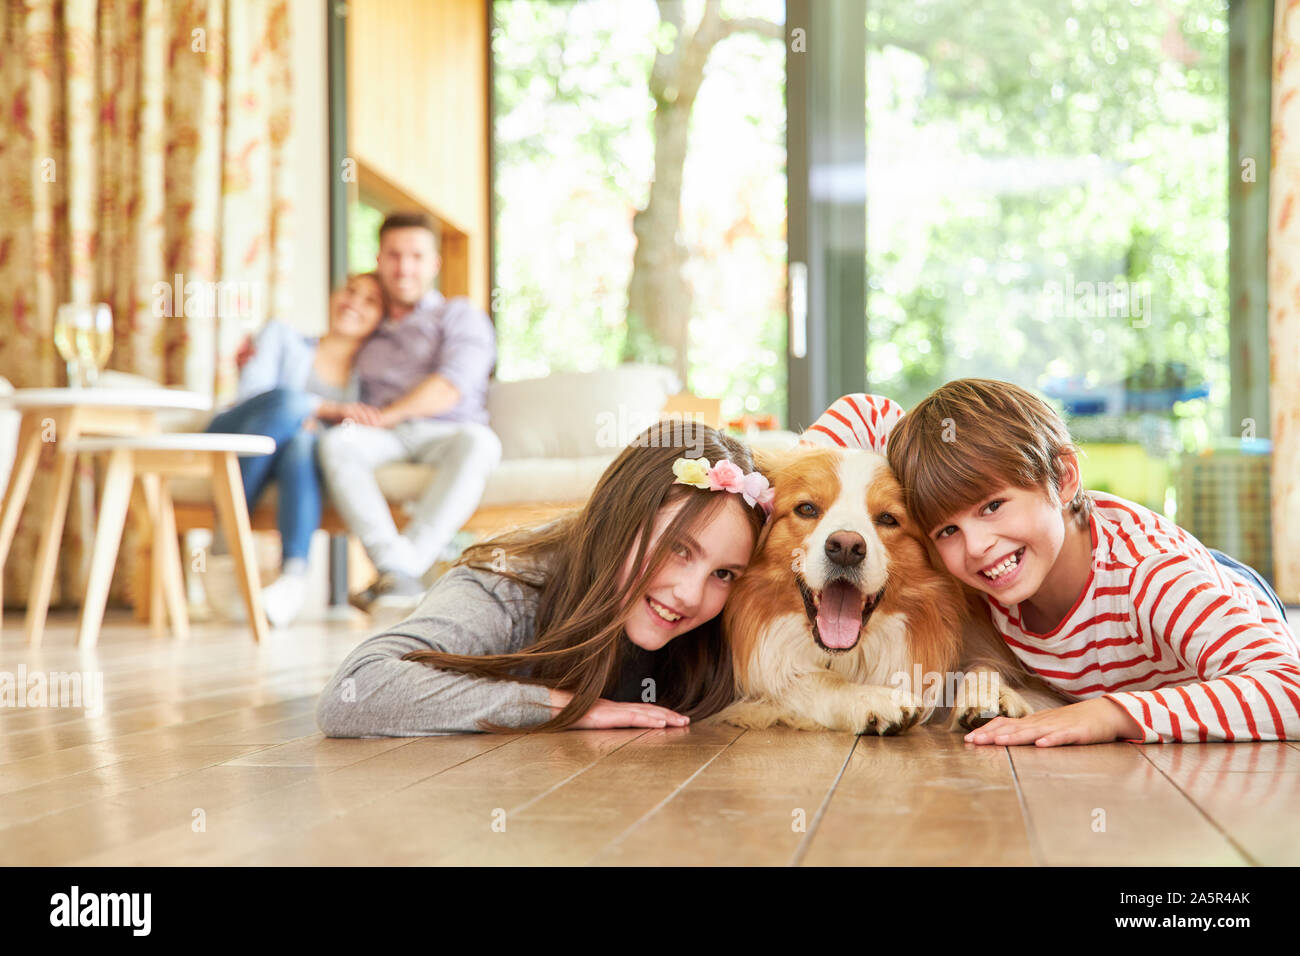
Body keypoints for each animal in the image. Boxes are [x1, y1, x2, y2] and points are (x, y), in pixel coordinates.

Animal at [712, 444, 1066, 738]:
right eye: (807, 509)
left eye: (887, 518)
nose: (845, 547)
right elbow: (801, 680)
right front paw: (870, 698)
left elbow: (983, 667)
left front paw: (991, 693)